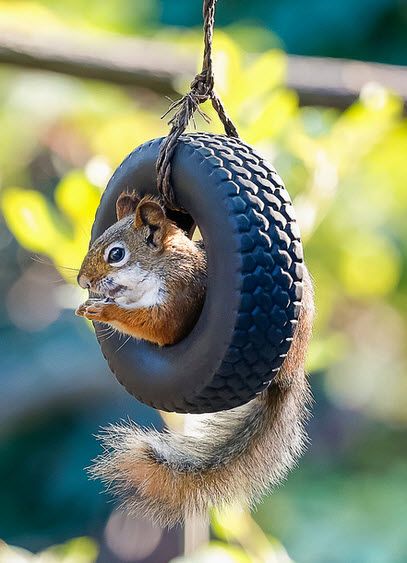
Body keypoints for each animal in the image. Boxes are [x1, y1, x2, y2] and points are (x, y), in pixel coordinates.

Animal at [75, 191, 316, 528]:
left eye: (116, 254)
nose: (83, 281)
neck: (162, 265)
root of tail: (290, 374)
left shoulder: (180, 294)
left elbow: (159, 326)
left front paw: (104, 310)